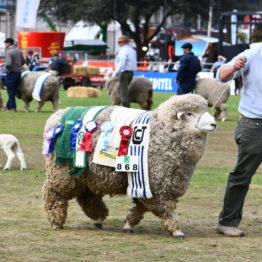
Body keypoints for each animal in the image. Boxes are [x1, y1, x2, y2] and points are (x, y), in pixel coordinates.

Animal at [42, 93, 216, 237]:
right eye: (190, 113)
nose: (214, 124)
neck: (164, 131)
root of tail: (57, 115)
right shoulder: (156, 184)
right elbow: (164, 209)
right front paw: (177, 230)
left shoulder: (149, 184)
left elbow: (141, 207)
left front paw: (128, 224)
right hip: (62, 171)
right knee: (53, 192)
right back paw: (56, 221)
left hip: (87, 173)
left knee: (87, 196)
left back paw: (98, 217)